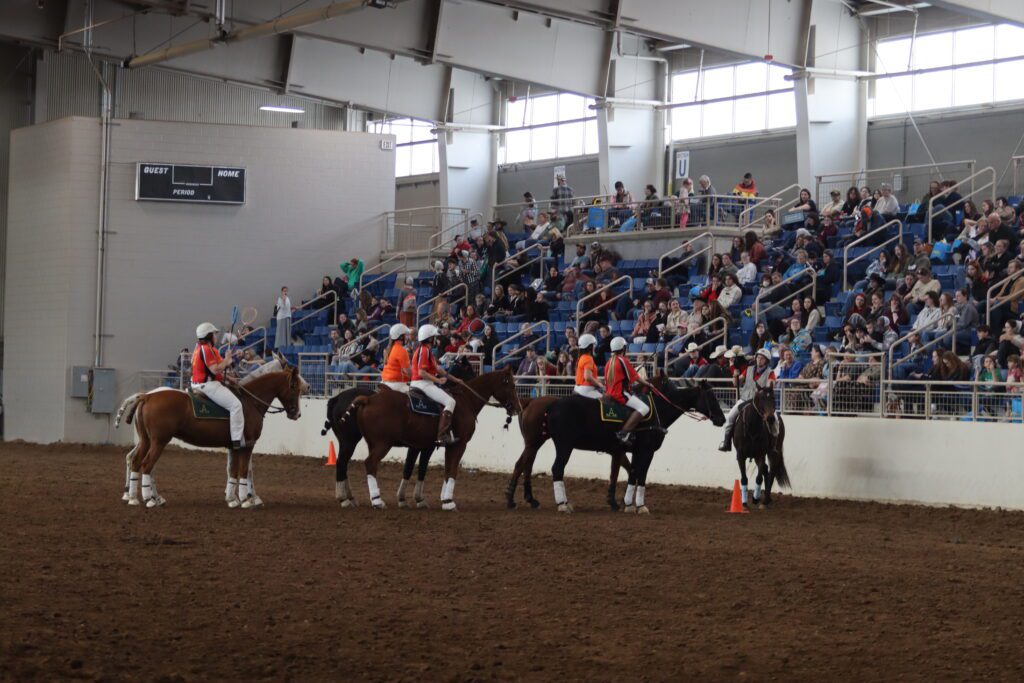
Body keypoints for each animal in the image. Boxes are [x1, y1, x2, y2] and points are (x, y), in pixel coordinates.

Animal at [115, 358, 307, 507]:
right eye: (294, 385)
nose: (297, 413)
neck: (250, 401)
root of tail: (147, 396)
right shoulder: (248, 444)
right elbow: (245, 470)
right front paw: (247, 499)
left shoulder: (234, 446)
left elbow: (233, 471)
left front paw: (232, 498)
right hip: (159, 441)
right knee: (147, 464)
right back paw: (149, 499)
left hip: (147, 440)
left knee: (136, 461)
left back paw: (135, 497)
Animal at [321, 358, 477, 507]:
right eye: (469, 368)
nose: (468, 386)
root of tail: (337, 398)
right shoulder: (428, 446)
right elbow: (421, 468)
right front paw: (419, 499)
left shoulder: (419, 445)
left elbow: (411, 467)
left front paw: (407, 499)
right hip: (354, 441)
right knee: (346, 463)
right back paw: (349, 499)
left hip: (351, 441)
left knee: (344, 464)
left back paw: (349, 498)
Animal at [337, 366, 520, 509]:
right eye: (511, 385)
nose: (518, 408)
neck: (465, 401)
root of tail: (367, 399)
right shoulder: (459, 444)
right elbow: (452, 470)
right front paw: (448, 501)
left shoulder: (438, 446)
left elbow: (444, 470)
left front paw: (442, 499)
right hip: (382, 444)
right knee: (369, 463)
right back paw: (376, 501)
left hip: (372, 443)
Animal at [544, 378, 729, 511]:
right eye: (711, 397)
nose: (722, 419)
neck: (657, 411)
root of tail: (553, 406)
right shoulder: (647, 451)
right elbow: (642, 474)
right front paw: (640, 505)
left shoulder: (634, 451)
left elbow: (633, 473)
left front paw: (628, 503)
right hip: (564, 446)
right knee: (557, 469)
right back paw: (562, 503)